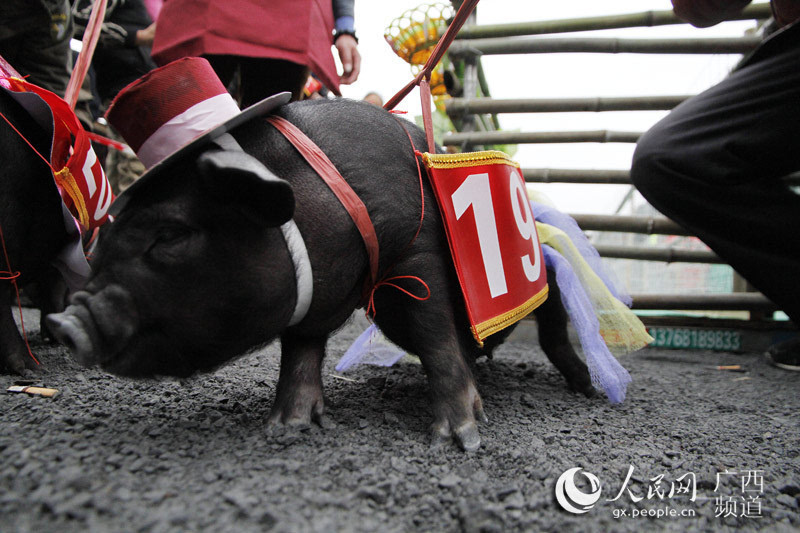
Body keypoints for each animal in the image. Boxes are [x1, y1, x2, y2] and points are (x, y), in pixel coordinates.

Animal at [45, 100, 592, 448]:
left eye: (171, 234)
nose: (65, 322)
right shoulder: (314, 292)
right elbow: (300, 353)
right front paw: (284, 430)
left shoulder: (418, 256)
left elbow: (436, 337)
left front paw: (460, 441)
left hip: (548, 276)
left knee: (554, 322)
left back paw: (584, 388)